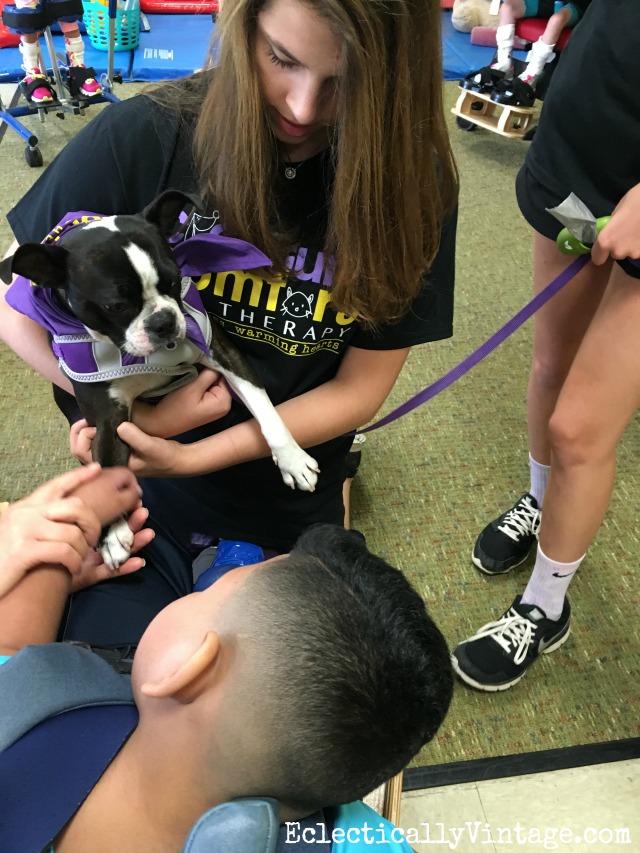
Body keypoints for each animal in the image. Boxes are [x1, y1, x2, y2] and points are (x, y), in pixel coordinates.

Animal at [0, 190, 320, 568]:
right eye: (116, 305)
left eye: (174, 280)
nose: (164, 321)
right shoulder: (107, 419)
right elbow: (106, 470)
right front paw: (112, 533)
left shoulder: (220, 348)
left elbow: (264, 408)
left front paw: (292, 458)